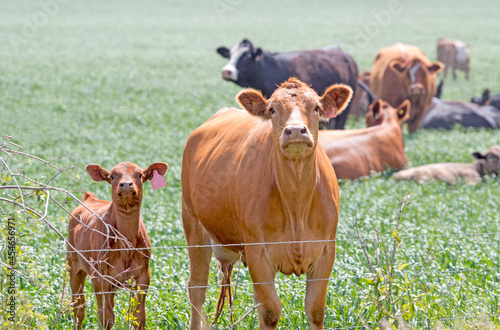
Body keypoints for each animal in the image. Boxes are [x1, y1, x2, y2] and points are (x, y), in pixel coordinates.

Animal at [66, 162, 169, 330]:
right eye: (113, 176)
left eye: (140, 175)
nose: (126, 184)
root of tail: (91, 199)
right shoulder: (100, 277)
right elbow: (106, 317)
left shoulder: (143, 275)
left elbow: (138, 317)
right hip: (74, 267)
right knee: (78, 308)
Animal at [180, 78, 352, 330]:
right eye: (272, 109)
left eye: (316, 107)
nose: (295, 130)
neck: (296, 205)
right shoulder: (257, 254)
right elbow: (271, 311)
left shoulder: (326, 251)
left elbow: (315, 309)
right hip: (192, 222)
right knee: (197, 287)